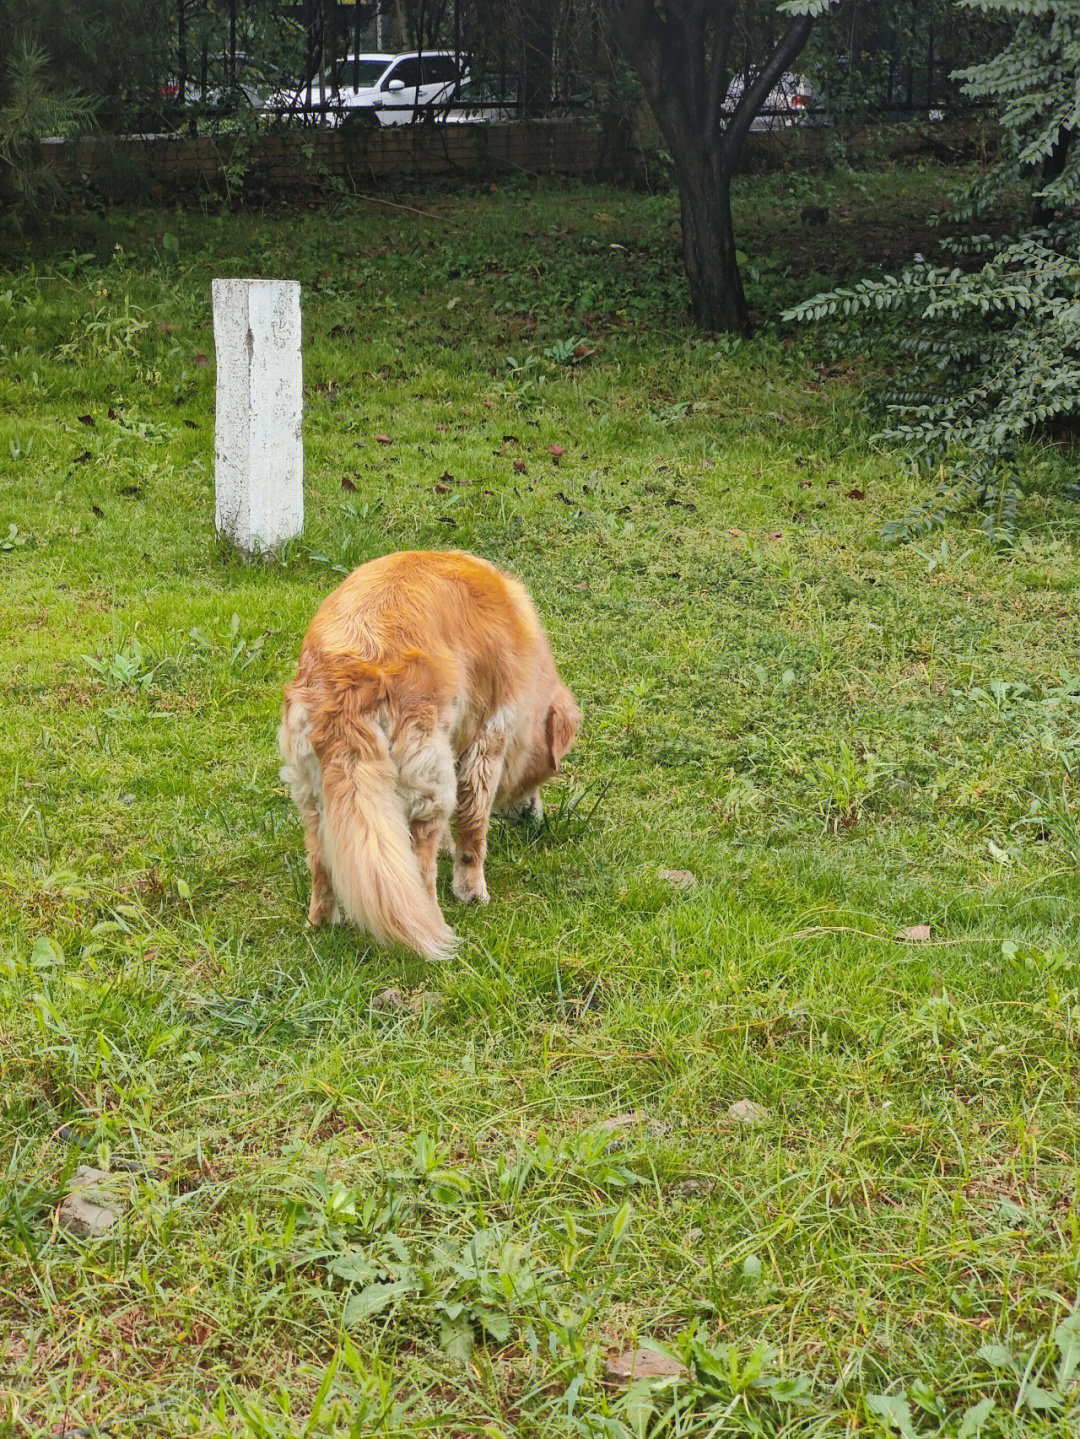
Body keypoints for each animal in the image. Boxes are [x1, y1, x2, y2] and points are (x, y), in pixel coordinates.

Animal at [280, 555, 583, 961]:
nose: (535, 819)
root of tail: (350, 679)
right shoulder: (489, 736)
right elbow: (473, 827)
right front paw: (472, 890)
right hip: (428, 785)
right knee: (419, 869)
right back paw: (431, 926)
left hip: (313, 792)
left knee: (319, 858)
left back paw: (323, 921)